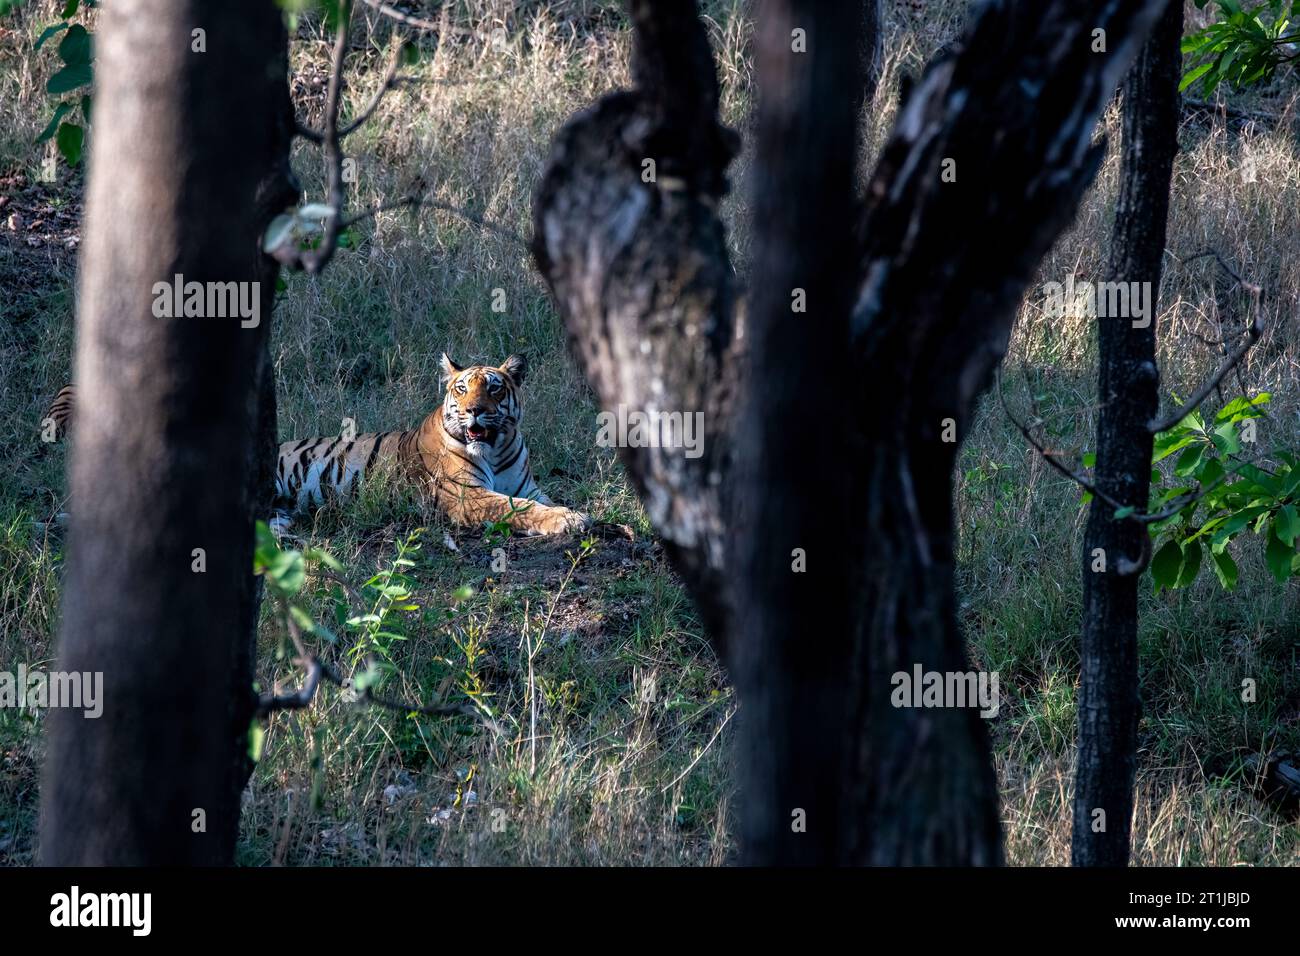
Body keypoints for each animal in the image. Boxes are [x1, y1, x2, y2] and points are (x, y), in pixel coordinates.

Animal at [38, 356, 592, 538]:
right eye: (461, 389)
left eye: (494, 388)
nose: (475, 410)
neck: (496, 445)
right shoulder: (467, 497)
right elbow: (515, 508)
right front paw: (570, 520)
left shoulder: (526, 482)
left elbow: (534, 499)